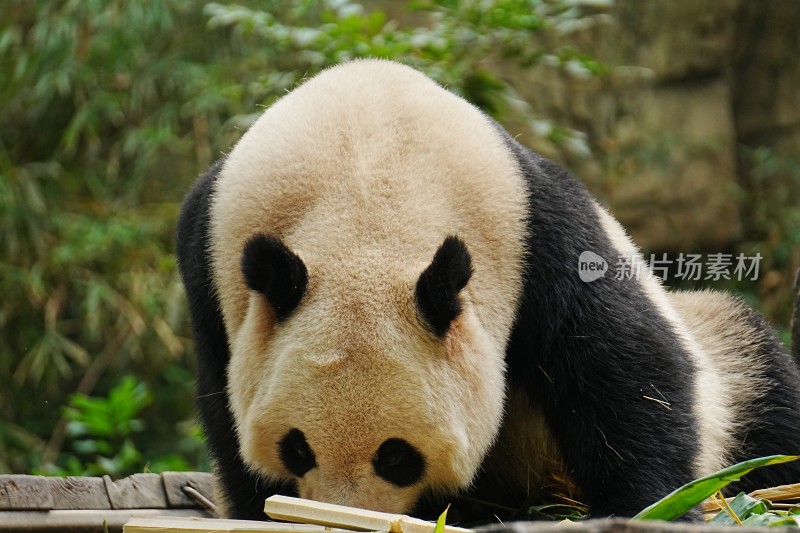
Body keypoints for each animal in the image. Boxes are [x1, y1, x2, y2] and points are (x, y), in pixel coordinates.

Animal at [175, 59, 800, 520]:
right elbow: (225, 403)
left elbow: (624, 368)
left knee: (765, 397)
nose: (347, 514)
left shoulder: (537, 232)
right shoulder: (209, 257)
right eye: (297, 447)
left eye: (397, 456)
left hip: (721, 351)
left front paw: (649, 506)